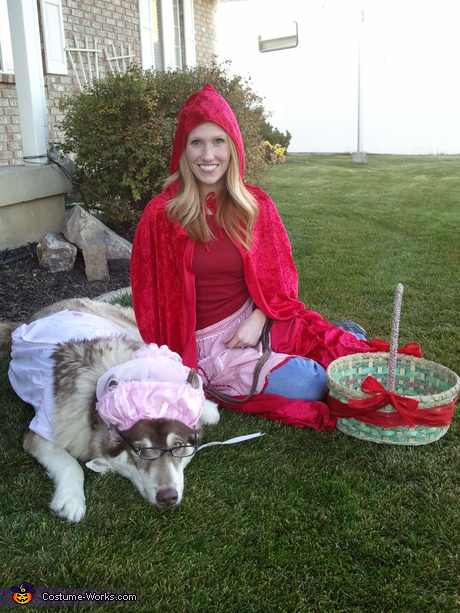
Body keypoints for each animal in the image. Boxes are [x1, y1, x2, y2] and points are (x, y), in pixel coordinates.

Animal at [0, 296, 219, 520]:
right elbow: (71, 464)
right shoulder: (40, 434)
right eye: (140, 450)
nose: (168, 497)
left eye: (177, 445)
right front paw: (70, 499)